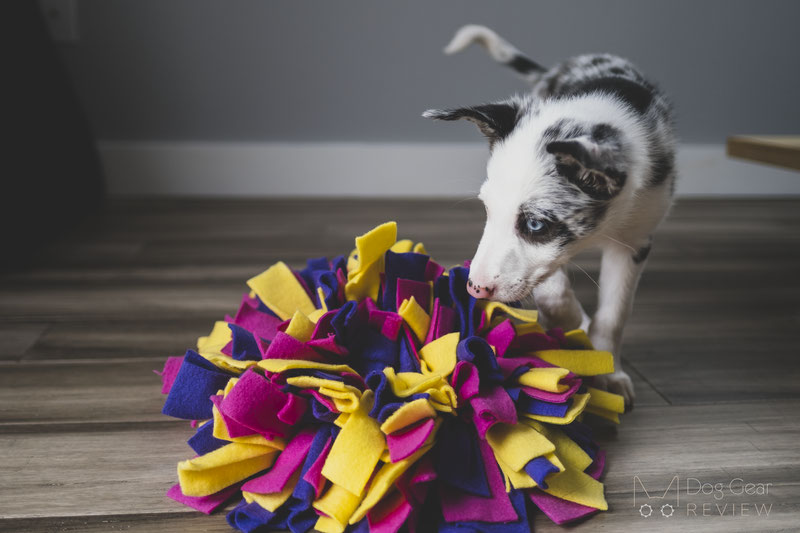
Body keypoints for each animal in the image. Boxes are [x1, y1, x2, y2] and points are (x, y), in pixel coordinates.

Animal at [424, 25, 676, 408]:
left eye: (535, 224)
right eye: (487, 210)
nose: (475, 288)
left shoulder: (634, 239)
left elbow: (613, 315)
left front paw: (609, 372)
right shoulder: (548, 260)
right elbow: (553, 293)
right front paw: (575, 323)